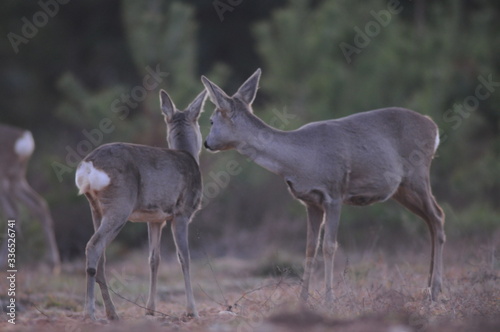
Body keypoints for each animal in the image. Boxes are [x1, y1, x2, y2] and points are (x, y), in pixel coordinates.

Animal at [0, 123, 60, 274]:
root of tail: (24, 139)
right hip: (16, 178)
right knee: (39, 204)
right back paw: (53, 264)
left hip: (4, 178)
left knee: (13, 211)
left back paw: (2, 262)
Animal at [74, 89, 207, 320]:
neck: (187, 155)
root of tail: (88, 167)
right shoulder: (182, 212)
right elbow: (185, 257)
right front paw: (192, 311)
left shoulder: (154, 219)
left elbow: (154, 259)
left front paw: (150, 309)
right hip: (120, 205)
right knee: (93, 246)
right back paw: (90, 312)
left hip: (96, 208)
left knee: (101, 256)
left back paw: (112, 313)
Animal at [202, 69, 446, 304]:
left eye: (212, 121)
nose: (206, 143)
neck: (300, 161)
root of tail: (434, 128)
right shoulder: (310, 202)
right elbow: (310, 248)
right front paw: (302, 299)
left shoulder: (335, 193)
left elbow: (329, 246)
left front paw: (330, 299)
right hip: (401, 189)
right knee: (429, 220)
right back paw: (428, 288)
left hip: (417, 174)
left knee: (437, 216)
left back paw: (435, 291)